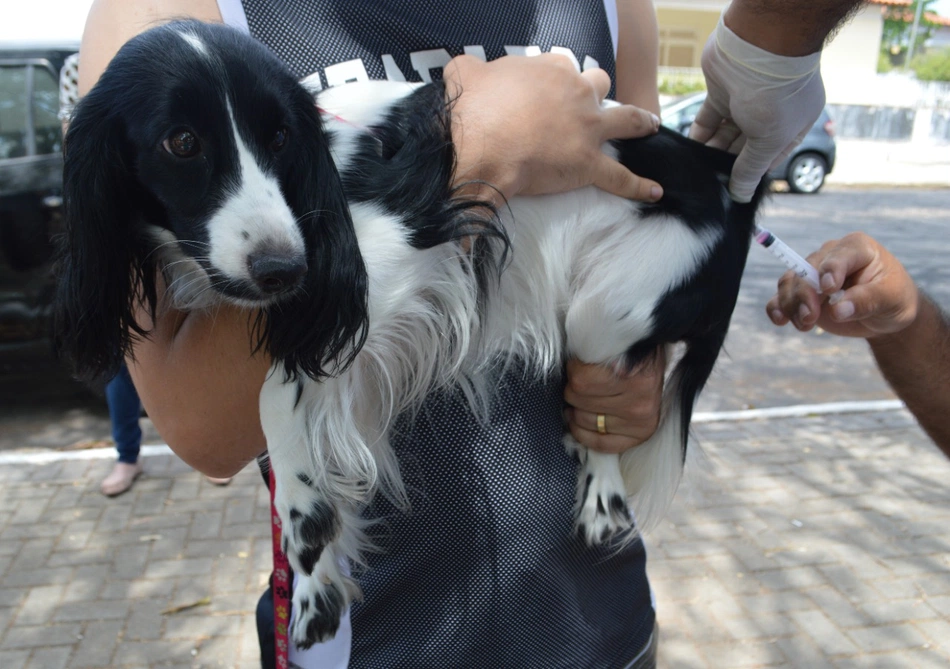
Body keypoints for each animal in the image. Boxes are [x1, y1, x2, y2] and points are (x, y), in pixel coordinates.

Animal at [54, 22, 768, 648]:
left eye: (280, 138)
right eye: (181, 143)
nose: (284, 268)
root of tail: (730, 181)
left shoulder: (385, 269)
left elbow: (276, 391)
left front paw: (307, 529)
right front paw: (316, 573)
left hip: (608, 306)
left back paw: (601, 498)